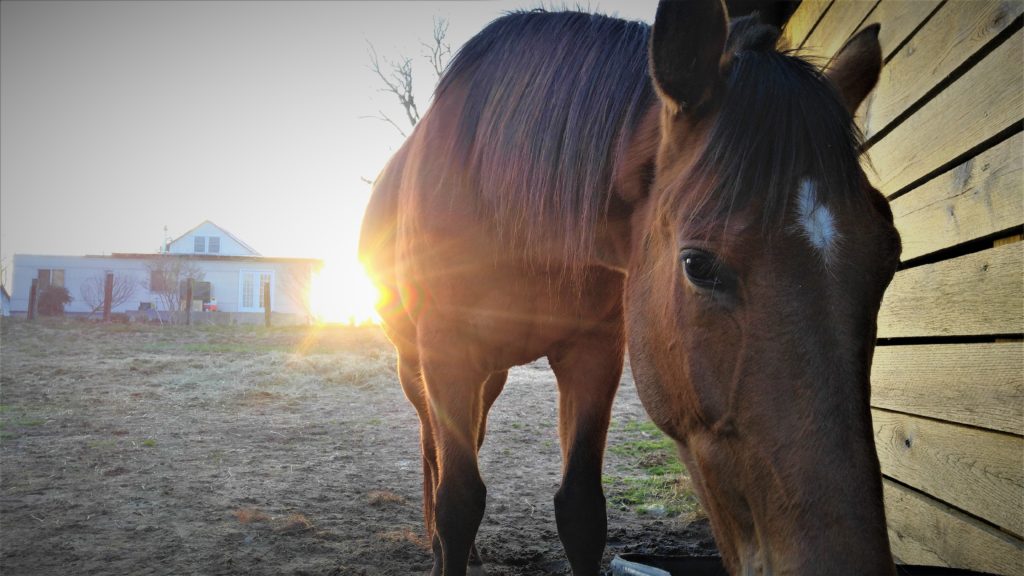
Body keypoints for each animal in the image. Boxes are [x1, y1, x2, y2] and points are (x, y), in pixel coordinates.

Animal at [358, 2, 897, 569]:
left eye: (890, 255)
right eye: (697, 265)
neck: (499, 196)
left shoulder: (593, 353)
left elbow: (580, 510)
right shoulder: (448, 354)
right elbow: (458, 501)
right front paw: (446, 548)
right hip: (417, 365)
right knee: (430, 447)